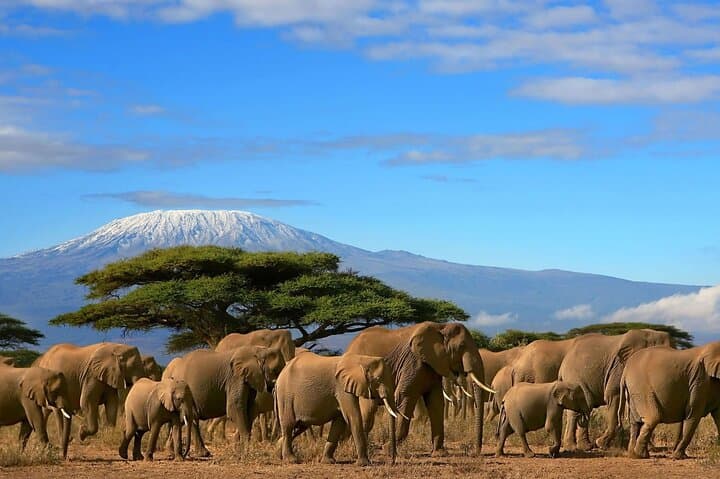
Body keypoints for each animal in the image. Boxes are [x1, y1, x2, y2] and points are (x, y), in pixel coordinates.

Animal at [345, 322, 494, 456]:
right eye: (461, 346)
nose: (475, 452)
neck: (441, 326)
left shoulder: (432, 365)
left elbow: (436, 402)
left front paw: (439, 453)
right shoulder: (414, 362)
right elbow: (405, 396)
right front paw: (387, 449)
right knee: (368, 409)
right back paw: (356, 451)